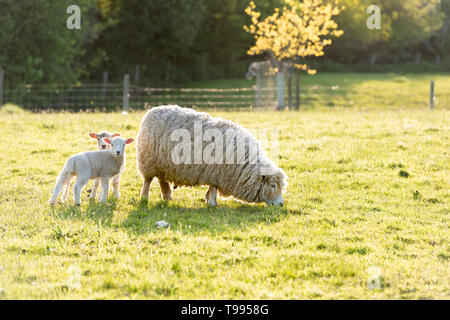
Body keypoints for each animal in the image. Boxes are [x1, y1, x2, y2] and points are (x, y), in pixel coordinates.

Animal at [135, 105, 288, 205]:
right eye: (273, 186)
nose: (281, 204)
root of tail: (151, 111)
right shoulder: (217, 171)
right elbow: (213, 187)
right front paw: (212, 203)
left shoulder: (215, 173)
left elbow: (211, 187)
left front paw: (208, 198)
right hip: (148, 160)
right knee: (148, 180)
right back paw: (144, 197)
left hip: (163, 164)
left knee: (162, 180)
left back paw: (167, 197)